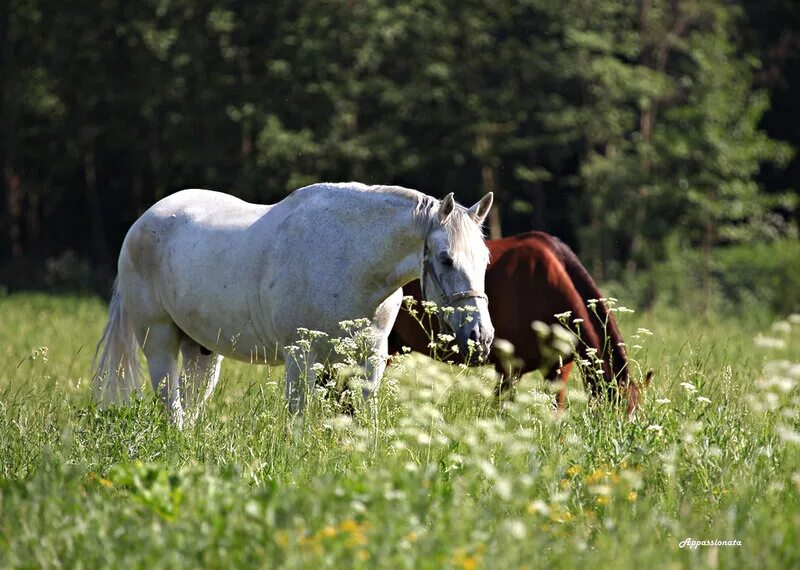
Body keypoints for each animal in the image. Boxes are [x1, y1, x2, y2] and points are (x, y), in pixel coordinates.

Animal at [94, 180, 494, 424]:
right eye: (445, 259)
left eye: (486, 260)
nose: (481, 336)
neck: (349, 256)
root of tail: (141, 223)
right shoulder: (301, 356)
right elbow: (298, 418)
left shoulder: (370, 359)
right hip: (159, 342)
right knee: (171, 403)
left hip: (202, 352)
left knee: (191, 404)